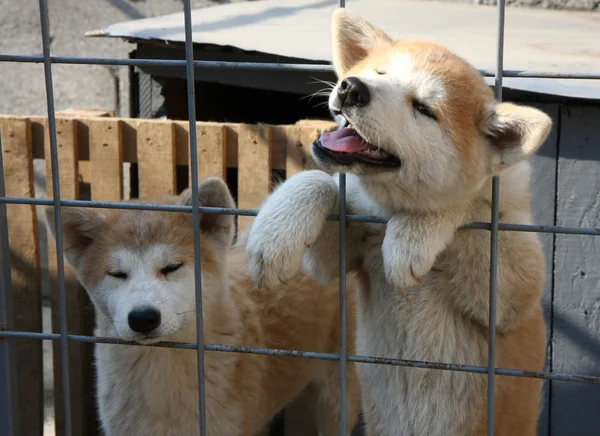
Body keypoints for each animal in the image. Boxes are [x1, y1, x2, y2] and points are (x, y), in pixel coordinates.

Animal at [246, 6, 552, 436]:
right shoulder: (341, 254)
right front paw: (275, 233)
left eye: (423, 108)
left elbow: (465, 206)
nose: (352, 87)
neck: (389, 210)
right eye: (379, 72)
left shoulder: (514, 296)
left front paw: (413, 234)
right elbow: (317, 181)